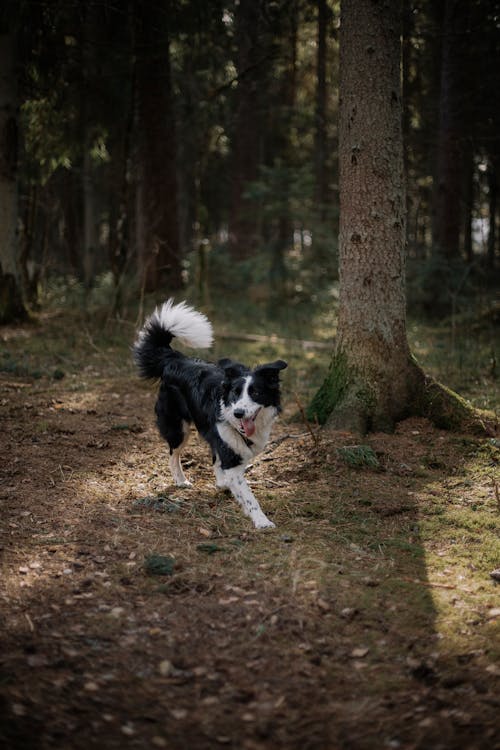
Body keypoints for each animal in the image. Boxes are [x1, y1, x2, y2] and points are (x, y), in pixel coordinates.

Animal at [135, 300, 288, 528]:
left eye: (256, 393)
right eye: (235, 393)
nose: (239, 413)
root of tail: (175, 359)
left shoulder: (229, 446)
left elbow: (224, 468)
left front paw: (225, 485)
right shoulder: (230, 455)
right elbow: (249, 496)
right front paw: (262, 521)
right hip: (178, 427)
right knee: (173, 454)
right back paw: (181, 480)